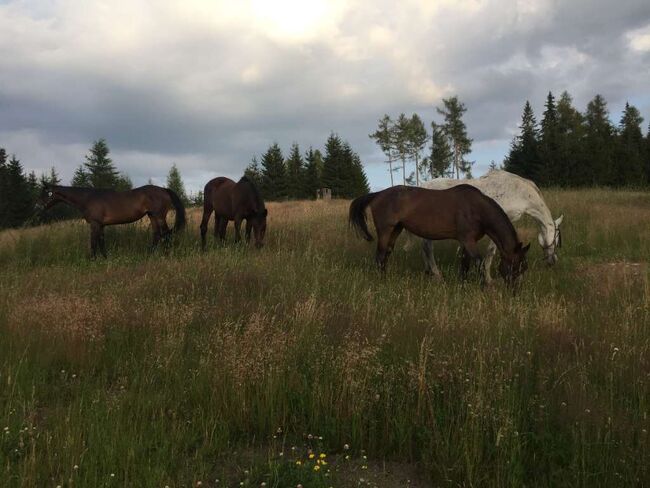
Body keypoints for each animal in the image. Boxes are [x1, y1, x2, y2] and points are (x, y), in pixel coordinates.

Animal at [38, 184, 185, 260]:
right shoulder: (101, 225)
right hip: (152, 216)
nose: (38, 206)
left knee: (166, 234)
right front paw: (105, 258)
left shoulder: (95, 224)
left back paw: (166, 255)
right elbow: (101, 242)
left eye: (47, 194)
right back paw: (149, 254)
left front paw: (92, 260)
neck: (88, 199)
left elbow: (93, 242)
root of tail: (163, 189)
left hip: (159, 216)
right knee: (157, 235)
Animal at [350, 185, 528, 284]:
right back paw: (382, 281)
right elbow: (478, 262)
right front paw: (485, 286)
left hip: (396, 230)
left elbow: (465, 264)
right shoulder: (468, 241)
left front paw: (463, 284)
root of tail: (378, 194)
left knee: (386, 254)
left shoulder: (467, 242)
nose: (514, 291)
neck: (476, 209)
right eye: (514, 266)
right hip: (386, 230)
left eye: (523, 268)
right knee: (380, 256)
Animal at [418, 169, 560, 282]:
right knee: (427, 248)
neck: (519, 192)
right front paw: (488, 278)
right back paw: (436, 274)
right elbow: (491, 251)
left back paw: (428, 271)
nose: (553, 261)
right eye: (557, 241)